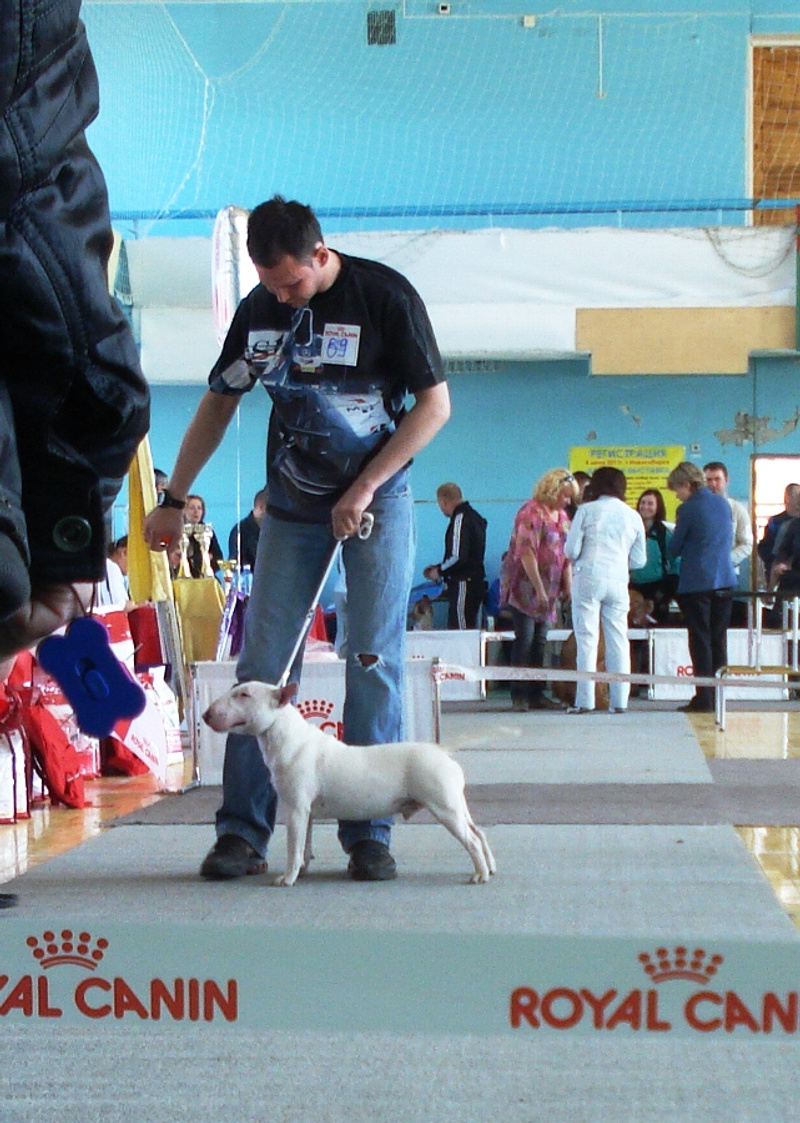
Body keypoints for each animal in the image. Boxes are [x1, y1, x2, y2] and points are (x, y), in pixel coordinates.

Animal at [203, 681, 496, 886]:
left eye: (244, 695)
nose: (206, 715)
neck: (289, 738)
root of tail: (441, 751)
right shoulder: (307, 812)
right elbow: (304, 844)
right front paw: (303, 869)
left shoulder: (296, 808)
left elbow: (292, 846)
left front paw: (287, 878)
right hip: (455, 804)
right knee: (479, 832)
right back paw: (490, 867)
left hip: (443, 806)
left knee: (471, 838)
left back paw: (479, 874)